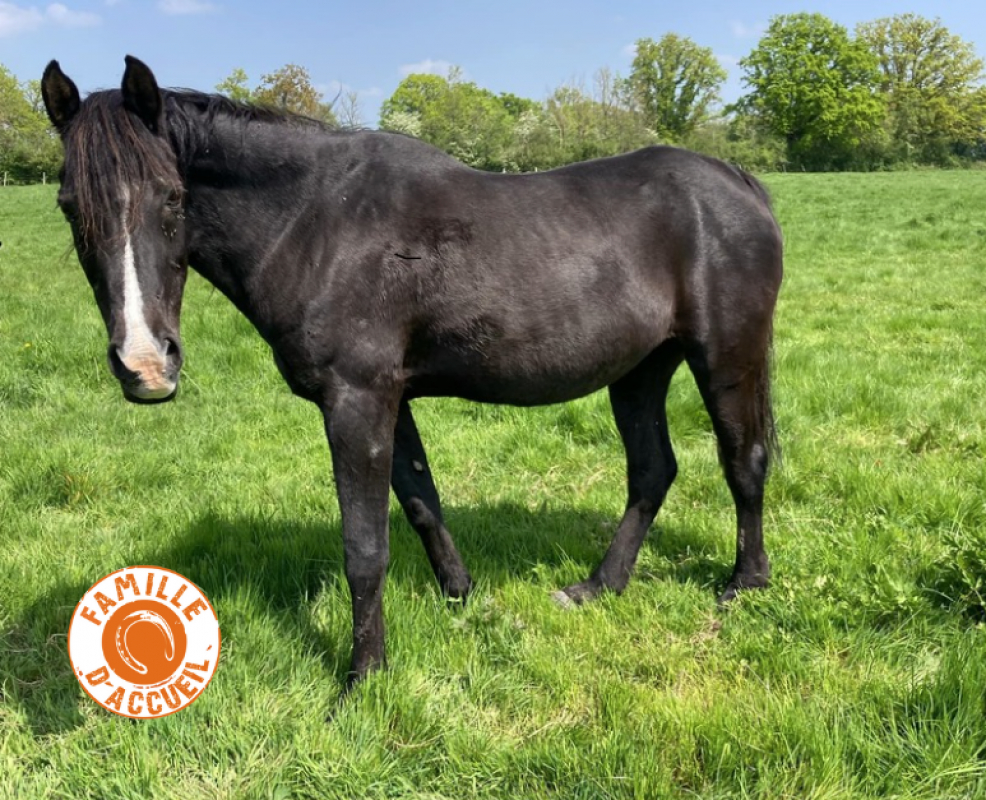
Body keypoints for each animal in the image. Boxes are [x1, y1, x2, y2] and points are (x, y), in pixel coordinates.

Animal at [41, 56, 783, 685]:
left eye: (172, 199)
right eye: (68, 206)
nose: (145, 364)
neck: (317, 222)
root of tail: (736, 182)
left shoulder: (356, 400)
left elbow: (364, 546)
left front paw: (364, 674)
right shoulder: (391, 400)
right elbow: (422, 500)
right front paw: (461, 596)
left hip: (726, 356)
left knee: (743, 461)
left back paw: (745, 584)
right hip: (641, 368)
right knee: (653, 470)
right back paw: (599, 586)